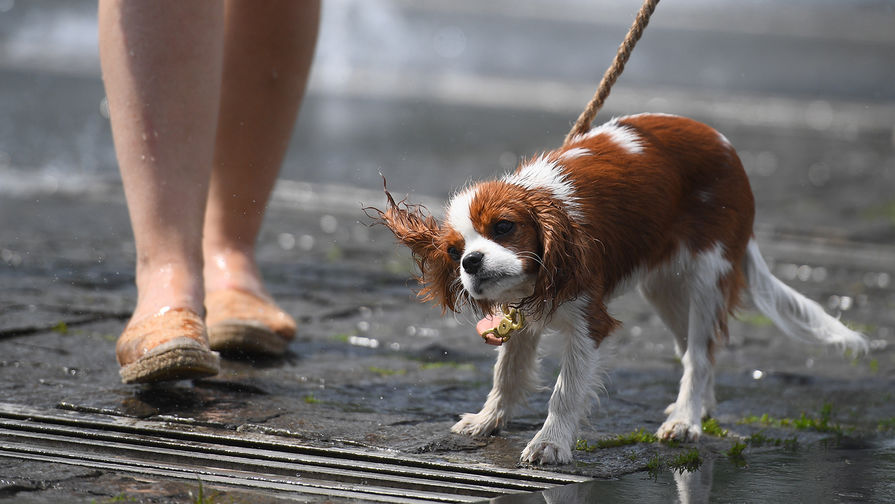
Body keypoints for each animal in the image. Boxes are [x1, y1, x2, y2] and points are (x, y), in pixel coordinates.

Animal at [372, 113, 868, 464]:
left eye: (504, 227)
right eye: (454, 251)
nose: (472, 263)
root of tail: (723, 144)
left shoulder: (589, 321)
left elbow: (565, 390)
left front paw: (550, 444)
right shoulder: (522, 312)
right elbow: (507, 373)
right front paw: (488, 420)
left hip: (707, 276)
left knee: (700, 353)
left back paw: (686, 420)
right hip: (664, 290)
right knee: (697, 351)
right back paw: (698, 409)